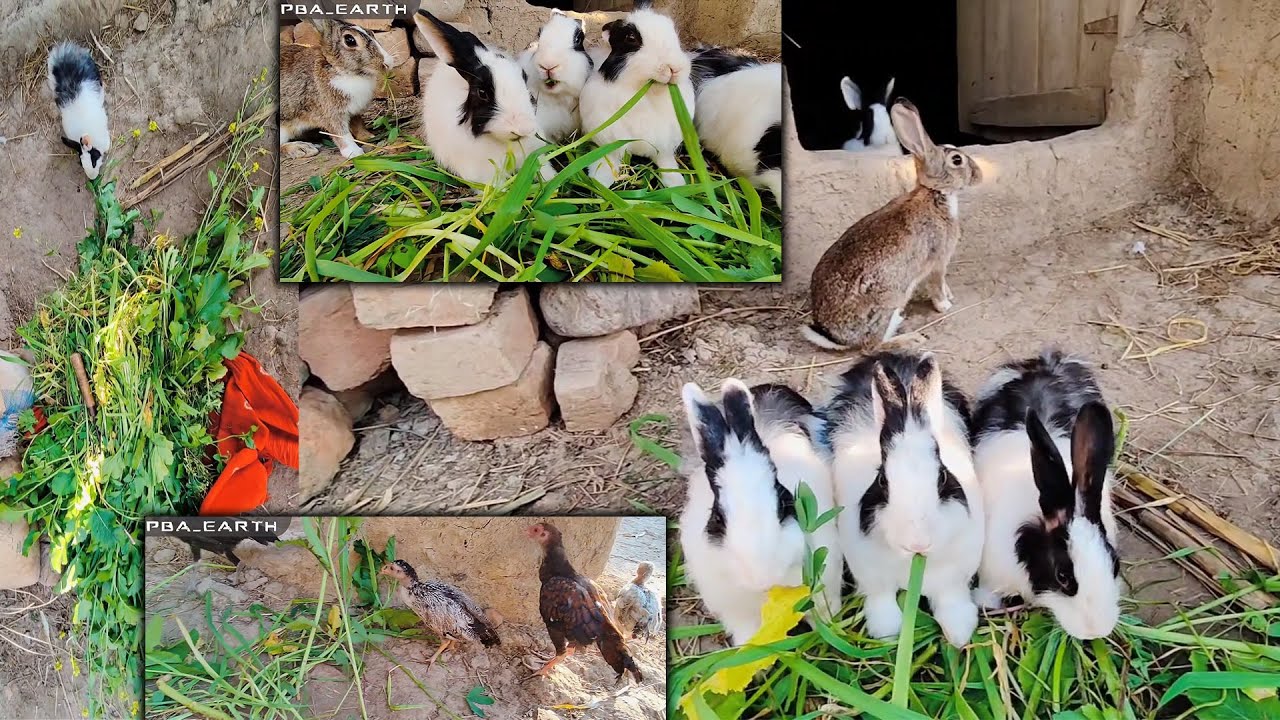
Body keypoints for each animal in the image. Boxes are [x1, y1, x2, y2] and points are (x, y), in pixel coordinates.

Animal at [279, 19, 393, 160]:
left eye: (371, 32)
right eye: (350, 40)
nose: (388, 63)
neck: (336, 68)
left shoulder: (354, 112)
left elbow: (358, 125)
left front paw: (368, 137)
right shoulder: (331, 114)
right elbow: (342, 134)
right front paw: (354, 152)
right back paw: (303, 148)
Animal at [579, 0, 695, 189]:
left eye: (673, 33)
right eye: (631, 38)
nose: (674, 68)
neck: (646, 95)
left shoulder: (663, 145)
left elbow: (666, 162)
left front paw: (676, 184)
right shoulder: (609, 138)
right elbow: (609, 159)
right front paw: (600, 181)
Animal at [803, 99, 982, 351]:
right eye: (957, 160)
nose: (979, 174)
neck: (935, 194)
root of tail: (835, 336)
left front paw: (950, 296)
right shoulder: (938, 259)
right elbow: (937, 284)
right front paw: (945, 305)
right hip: (887, 303)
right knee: (872, 345)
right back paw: (910, 338)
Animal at [825, 351, 983, 648]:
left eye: (943, 477)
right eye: (882, 481)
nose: (917, 543)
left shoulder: (954, 578)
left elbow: (952, 604)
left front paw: (959, 637)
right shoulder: (872, 576)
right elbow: (883, 607)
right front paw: (887, 636)